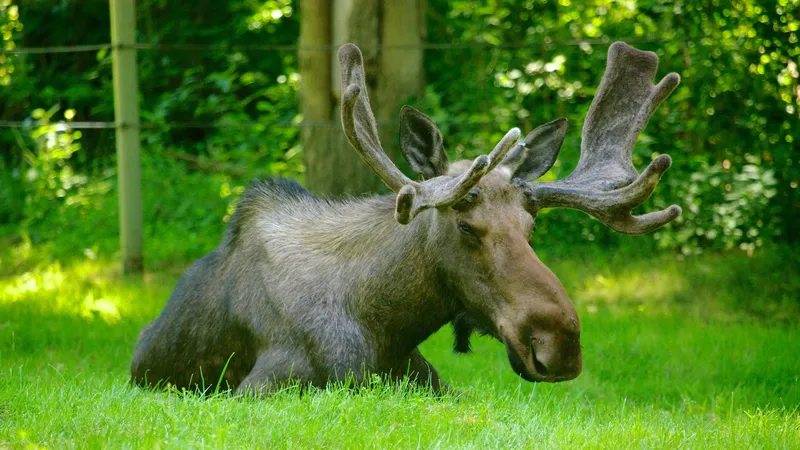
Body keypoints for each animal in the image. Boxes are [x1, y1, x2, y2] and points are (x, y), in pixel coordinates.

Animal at [130, 41, 680, 394]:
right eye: (466, 226)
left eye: (531, 229)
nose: (558, 343)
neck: (387, 328)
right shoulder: (264, 384)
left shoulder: (430, 383)